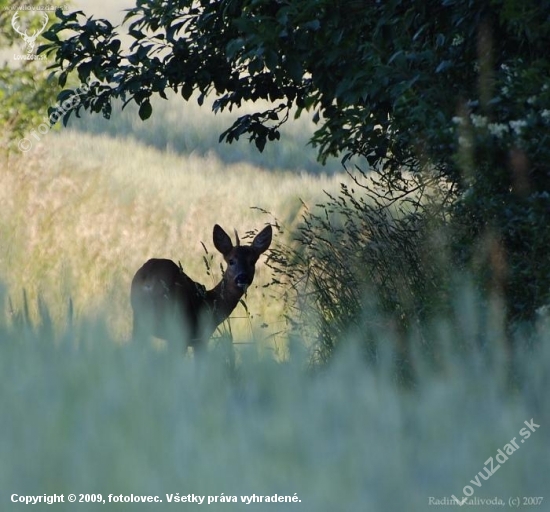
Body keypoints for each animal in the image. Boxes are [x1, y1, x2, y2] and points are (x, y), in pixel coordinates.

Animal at [132, 224, 274, 352]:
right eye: (231, 261)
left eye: (252, 261)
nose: (242, 277)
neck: (210, 301)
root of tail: (149, 279)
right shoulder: (200, 338)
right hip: (176, 325)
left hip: (139, 323)